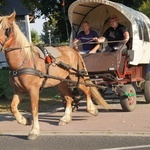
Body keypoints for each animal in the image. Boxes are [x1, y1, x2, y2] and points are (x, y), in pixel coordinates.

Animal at [0, 11, 110, 139]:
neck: (24, 60)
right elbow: (13, 107)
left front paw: (34, 130)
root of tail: (74, 50)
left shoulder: (33, 89)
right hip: (61, 82)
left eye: (7, 29)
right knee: (69, 98)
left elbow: (34, 109)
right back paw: (65, 118)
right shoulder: (20, 90)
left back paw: (92, 110)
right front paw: (25, 120)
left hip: (75, 77)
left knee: (87, 90)